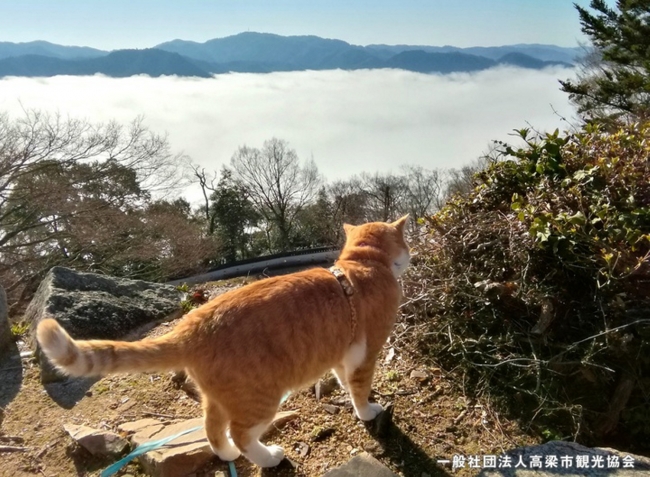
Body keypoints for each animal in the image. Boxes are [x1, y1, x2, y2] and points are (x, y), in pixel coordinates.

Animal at [36, 218, 404, 466]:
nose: (409, 257)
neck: (362, 263)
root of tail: (191, 326)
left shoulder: (345, 353)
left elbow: (345, 380)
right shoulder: (367, 352)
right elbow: (359, 387)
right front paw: (368, 412)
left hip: (218, 397)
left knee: (213, 430)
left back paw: (225, 453)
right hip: (259, 399)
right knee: (242, 434)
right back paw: (269, 457)